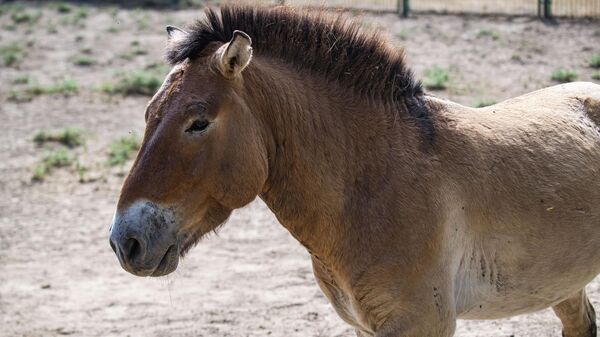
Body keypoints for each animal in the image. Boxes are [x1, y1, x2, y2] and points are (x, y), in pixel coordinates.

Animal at [108, 5, 600, 336]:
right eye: (148, 113)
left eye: (198, 122)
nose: (124, 242)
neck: (377, 180)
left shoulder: (426, 324)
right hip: (563, 284)